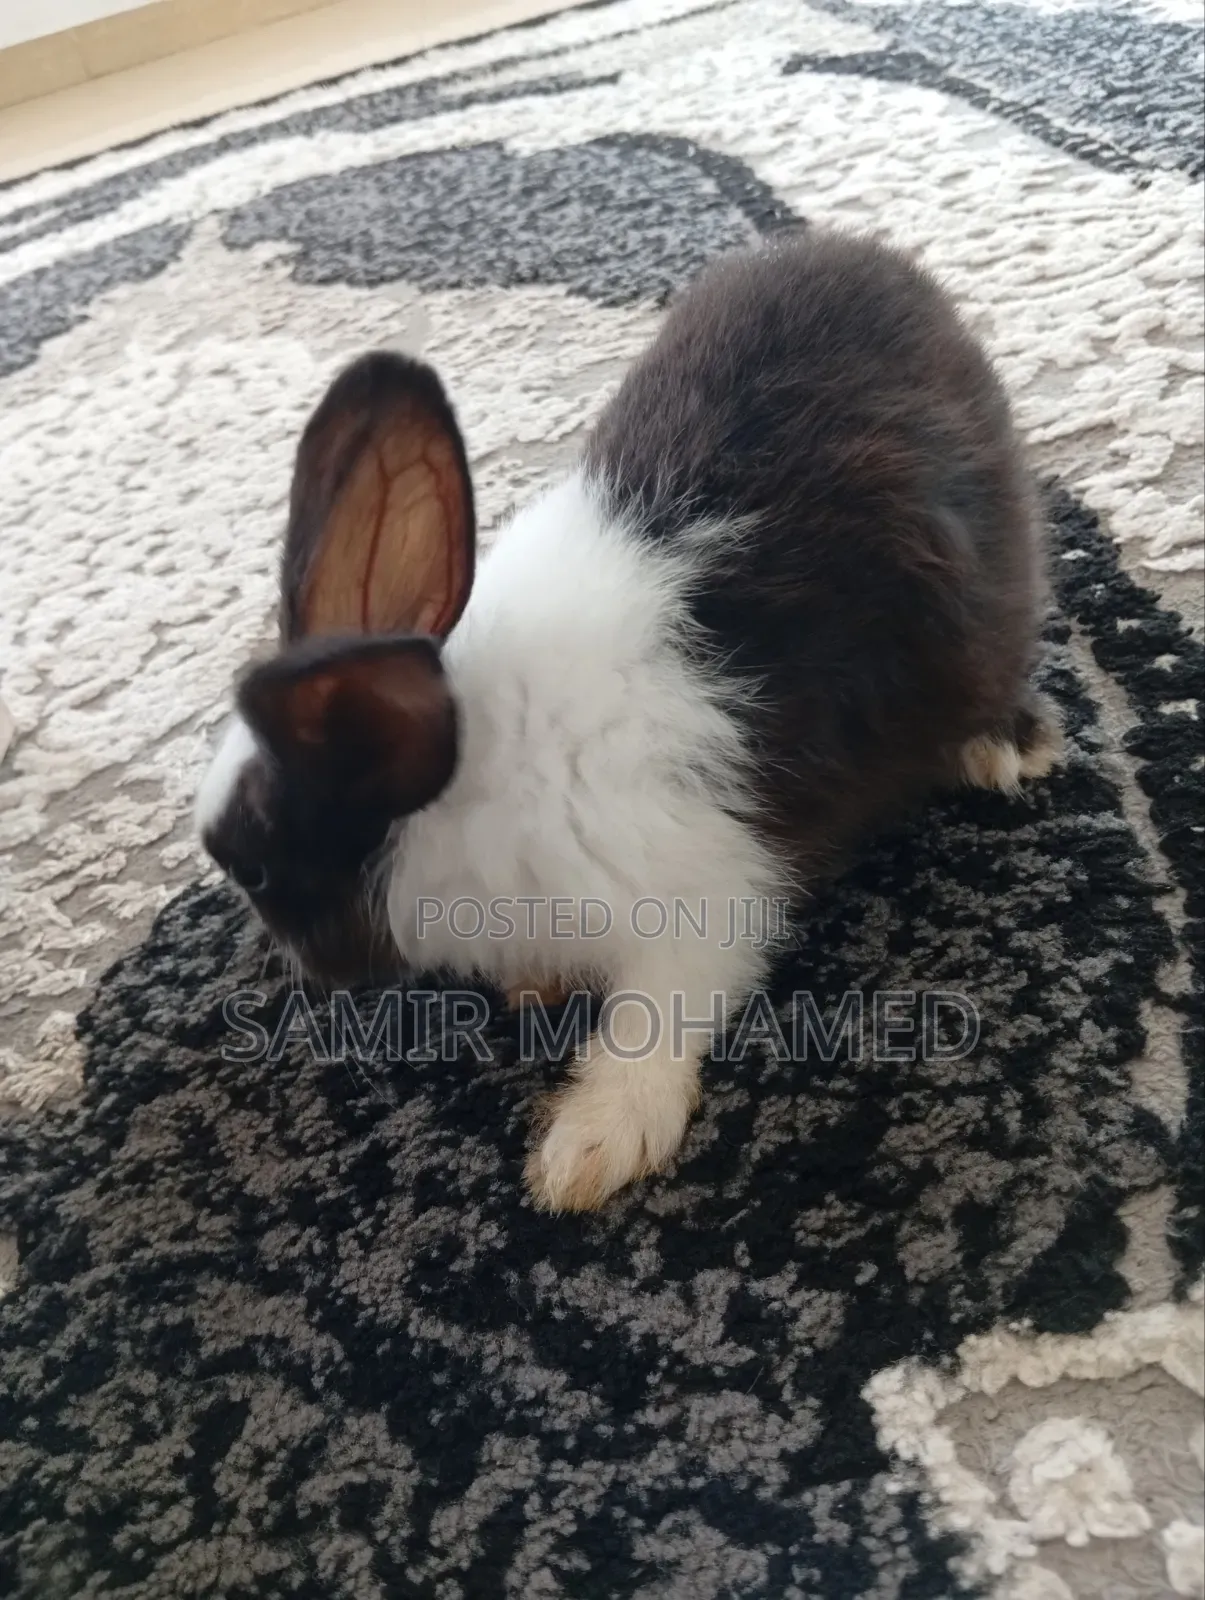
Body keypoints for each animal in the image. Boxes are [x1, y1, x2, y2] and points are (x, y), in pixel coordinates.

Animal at [195, 227, 1060, 1212]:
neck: (470, 771)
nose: (295, 963)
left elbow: (655, 1020)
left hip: (983, 595)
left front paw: (588, 1151)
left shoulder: (700, 901)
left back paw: (1006, 746)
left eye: (257, 868)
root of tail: (879, 263)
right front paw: (535, 990)